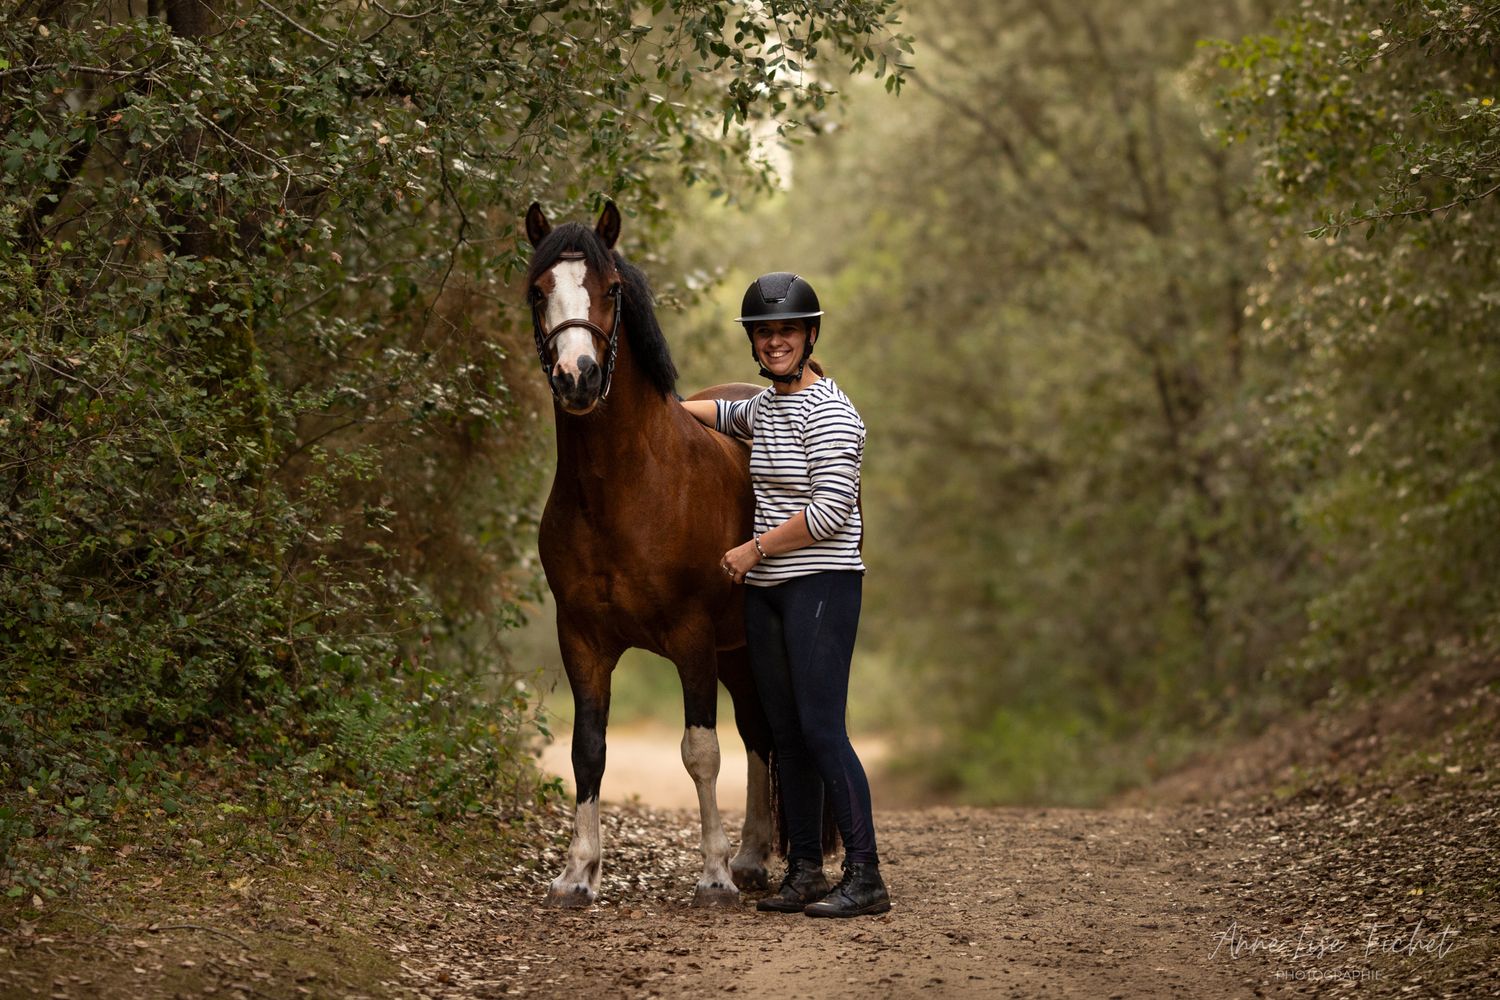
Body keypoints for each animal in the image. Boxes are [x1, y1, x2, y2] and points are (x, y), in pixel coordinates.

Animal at [523, 199, 775, 907]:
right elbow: (587, 749)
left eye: (610, 290)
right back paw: (753, 856)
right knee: (761, 736)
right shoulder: (582, 638)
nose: (577, 377)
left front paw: (712, 875)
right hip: (738, 650)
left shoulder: (690, 637)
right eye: (538, 291)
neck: (625, 487)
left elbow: (699, 751)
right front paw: (578, 872)